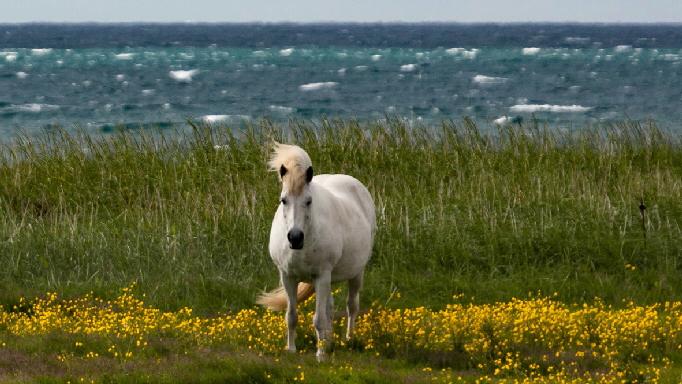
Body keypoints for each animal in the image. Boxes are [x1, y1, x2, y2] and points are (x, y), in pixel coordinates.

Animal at [255, 142, 374, 362]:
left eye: (309, 201)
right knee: (330, 308)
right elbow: (292, 316)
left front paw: (320, 355)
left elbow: (318, 319)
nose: (295, 237)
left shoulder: (321, 276)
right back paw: (330, 342)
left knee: (351, 305)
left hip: (355, 273)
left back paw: (348, 339)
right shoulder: (288, 277)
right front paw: (291, 349)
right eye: (283, 200)